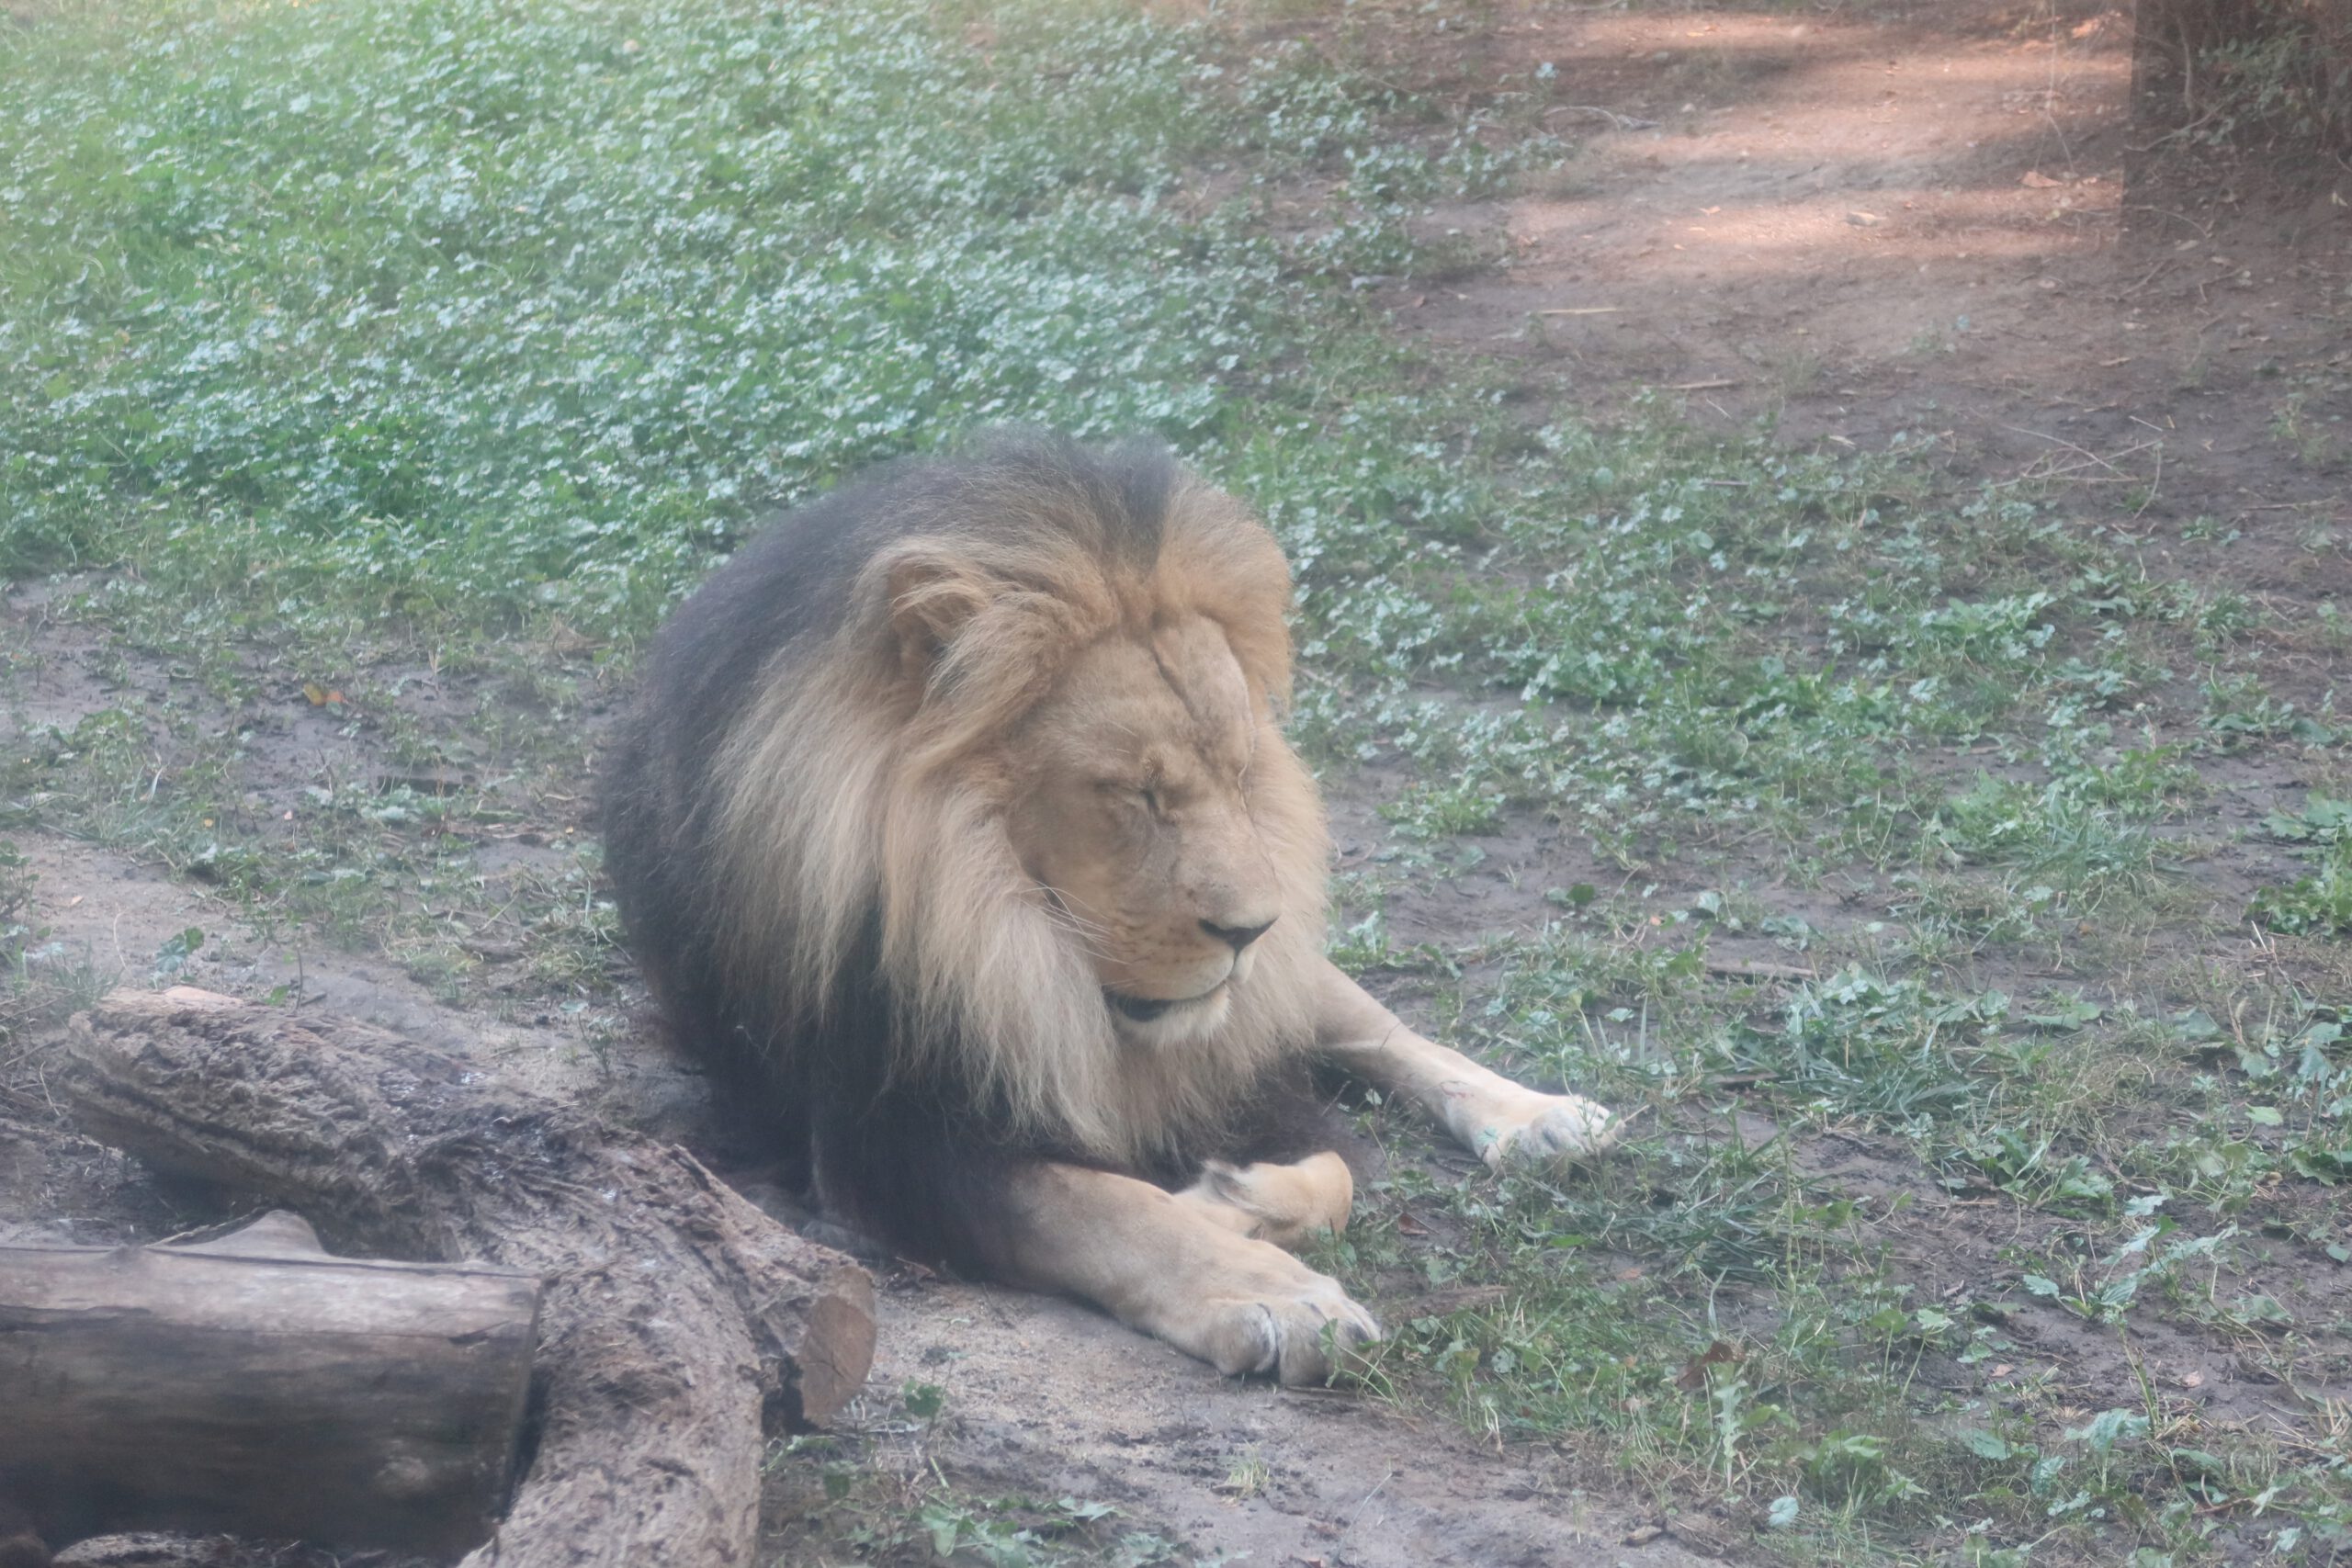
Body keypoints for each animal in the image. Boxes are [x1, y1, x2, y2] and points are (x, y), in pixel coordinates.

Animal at [601, 432, 1620, 1384]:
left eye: (1240, 771)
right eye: (1137, 792)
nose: (1252, 930)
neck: (1006, 937)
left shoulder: (1238, 1073)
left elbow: (1332, 1172)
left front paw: (1236, 1200)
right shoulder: (881, 1136)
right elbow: (1102, 1207)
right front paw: (1270, 1290)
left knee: (1382, 1028)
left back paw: (1539, 1120)